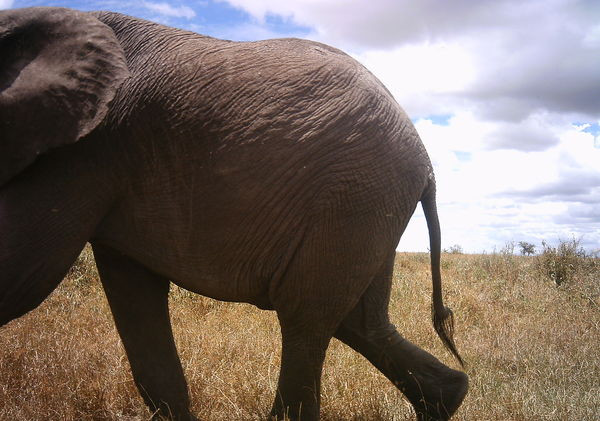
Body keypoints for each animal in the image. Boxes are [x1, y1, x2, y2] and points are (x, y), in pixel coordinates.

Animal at [0, 6, 468, 420]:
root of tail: (426, 163)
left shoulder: (87, 149)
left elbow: (24, 276)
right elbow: (131, 289)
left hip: (352, 196)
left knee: (305, 318)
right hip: (369, 204)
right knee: (358, 321)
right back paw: (449, 397)